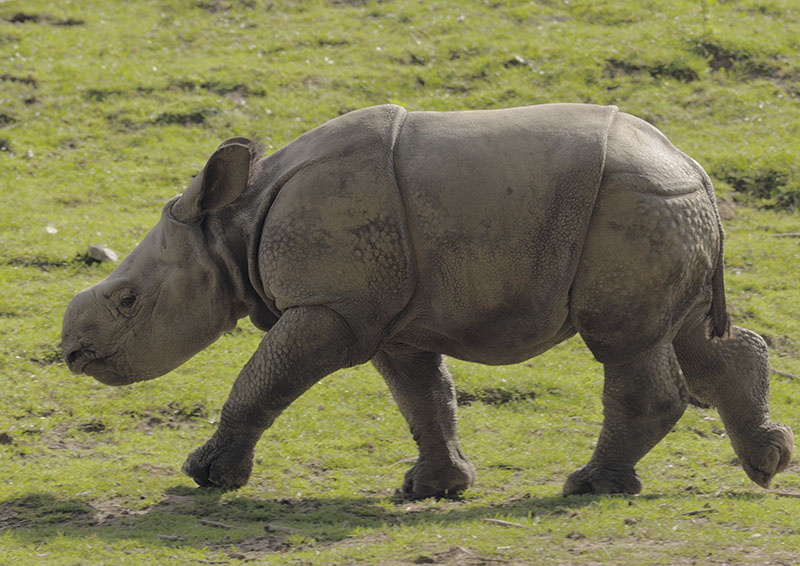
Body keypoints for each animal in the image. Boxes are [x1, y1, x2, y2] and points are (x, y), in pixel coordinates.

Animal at [61, 103, 793, 497]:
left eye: (127, 301)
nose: (71, 352)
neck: (232, 228)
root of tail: (694, 167)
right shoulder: (388, 319)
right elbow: (424, 399)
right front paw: (434, 489)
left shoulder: (332, 307)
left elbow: (261, 380)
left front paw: (206, 476)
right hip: (664, 211)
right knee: (687, 334)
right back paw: (768, 465)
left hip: (636, 206)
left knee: (626, 343)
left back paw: (587, 487)